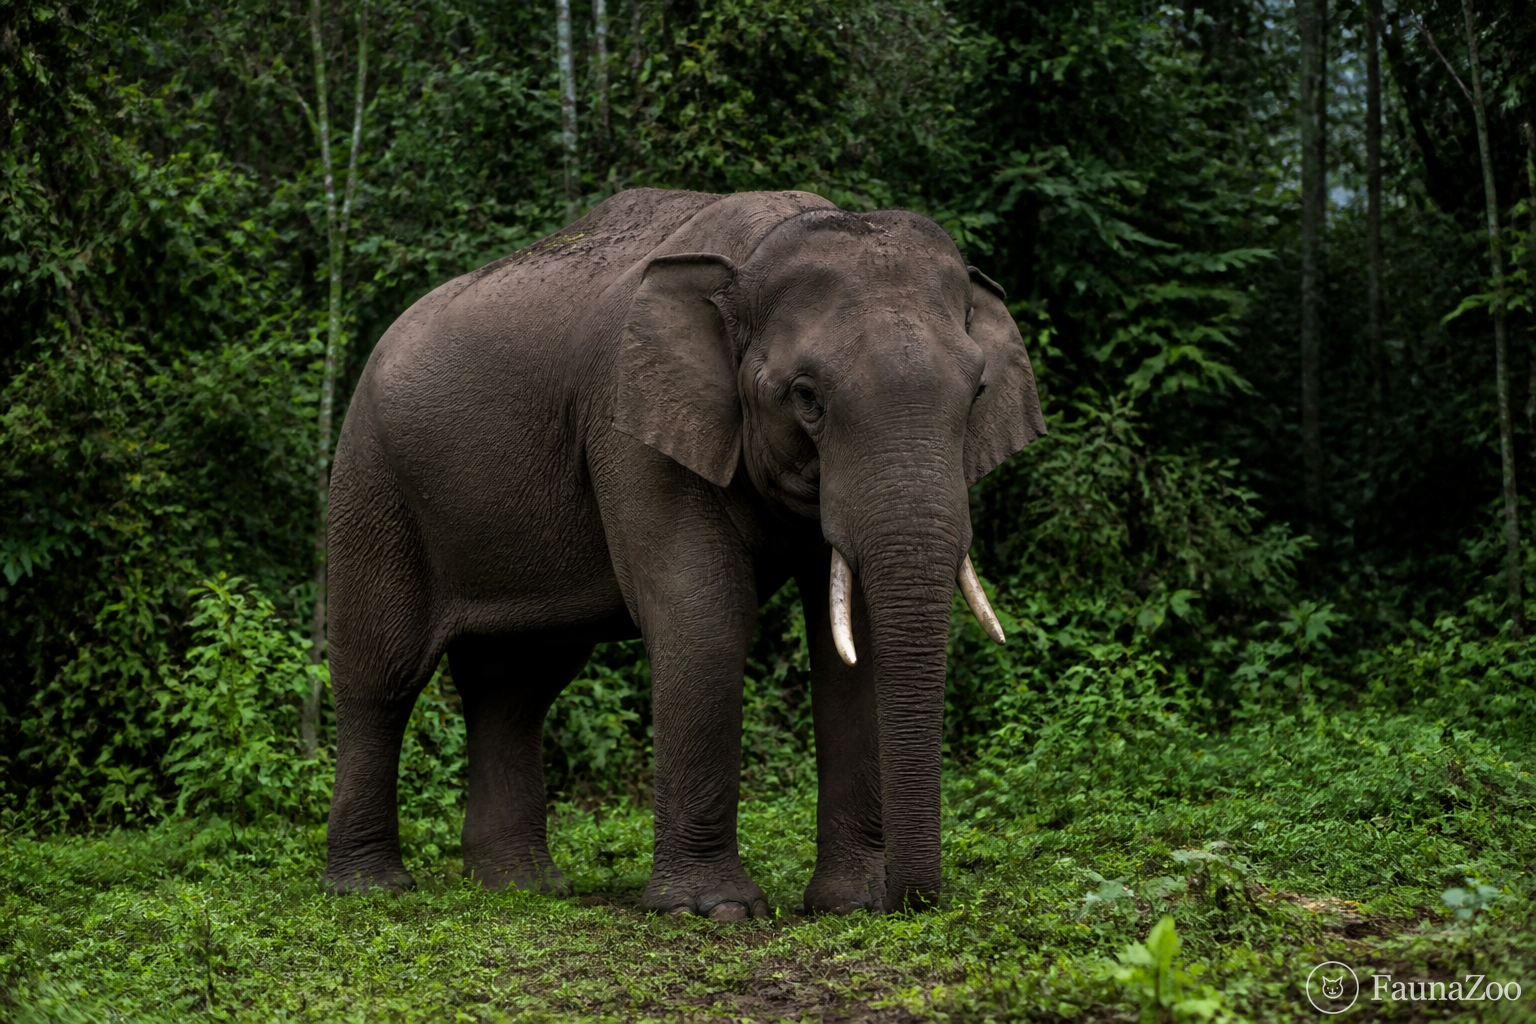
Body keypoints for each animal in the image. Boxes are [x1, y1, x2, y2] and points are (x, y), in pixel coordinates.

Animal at [323, 187, 1046, 918]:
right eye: (806, 397)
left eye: (978, 392)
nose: (914, 901)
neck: (757, 250)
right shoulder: (629, 425)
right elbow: (705, 612)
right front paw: (714, 910)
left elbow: (853, 636)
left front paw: (853, 902)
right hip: (371, 483)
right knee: (382, 674)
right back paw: (371, 888)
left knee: (515, 684)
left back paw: (524, 888)